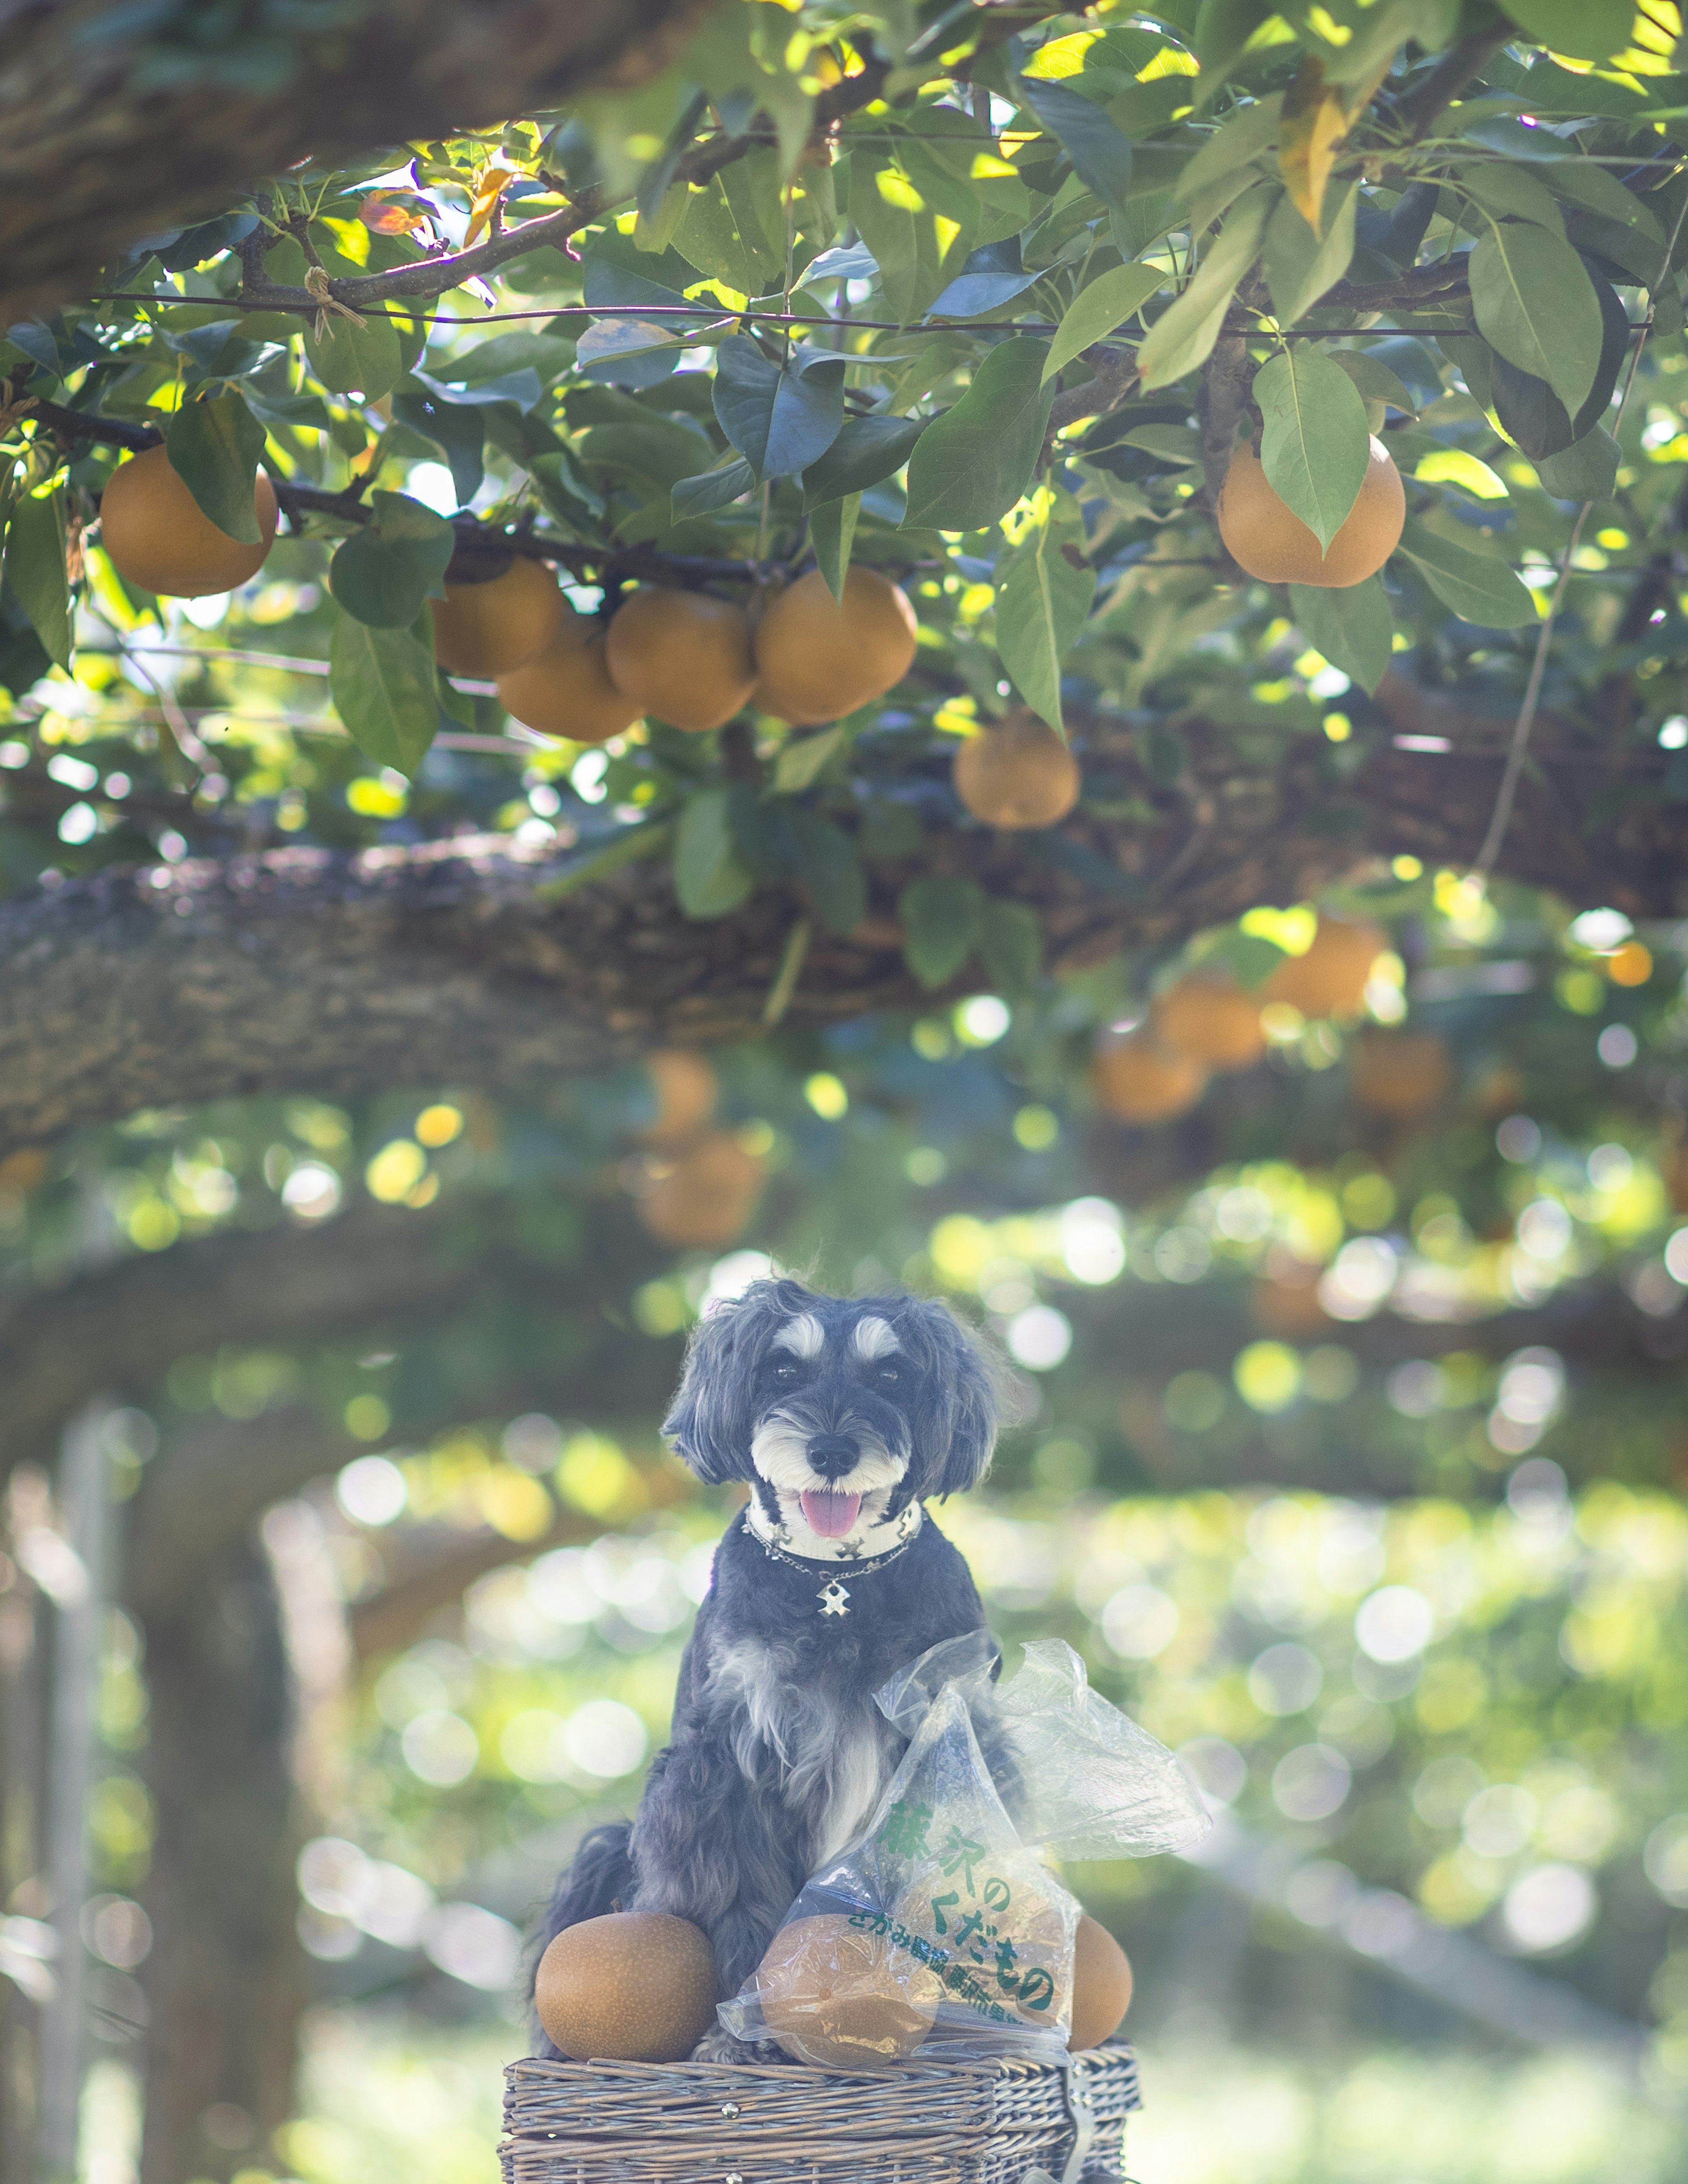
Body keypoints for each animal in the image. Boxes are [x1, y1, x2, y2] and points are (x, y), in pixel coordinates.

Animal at [533, 1275, 996, 2053]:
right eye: (783, 1368)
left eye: (891, 1374)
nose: (833, 1450)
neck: (834, 1580)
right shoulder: (726, 1765)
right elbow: (742, 1895)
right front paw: (744, 2033)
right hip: (610, 1851)